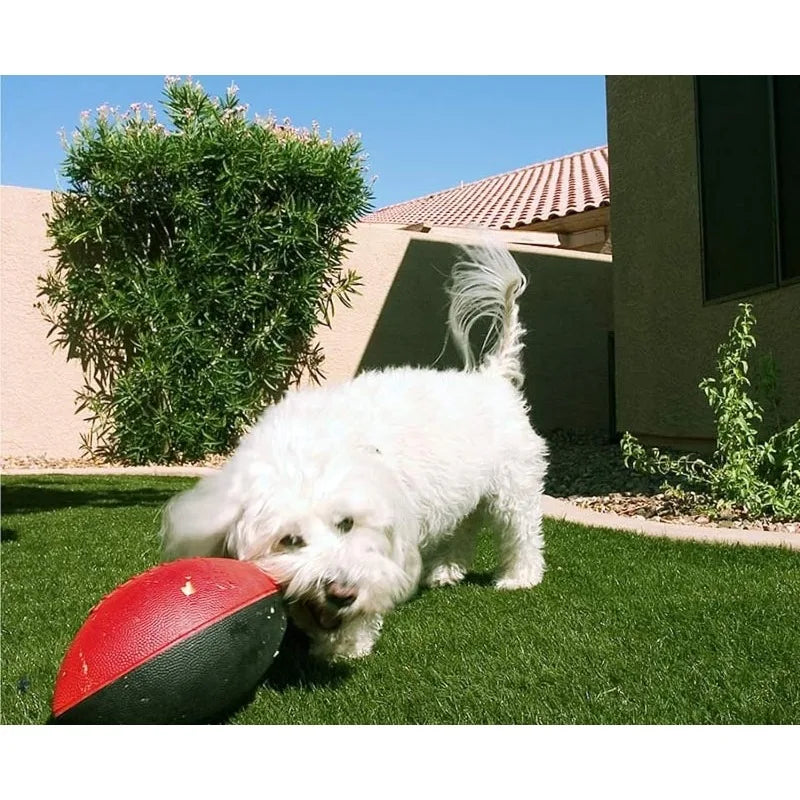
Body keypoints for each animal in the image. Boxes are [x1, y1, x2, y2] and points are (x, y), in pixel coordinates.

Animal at [162, 241, 552, 660]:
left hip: (515, 488)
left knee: (522, 532)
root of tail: (493, 377)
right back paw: (447, 569)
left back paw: (519, 577)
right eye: (289, 540)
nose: (342, 593)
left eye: (346, 524)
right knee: (464, 527)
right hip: (467, 491)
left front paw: (348, 644)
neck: (302, 451)